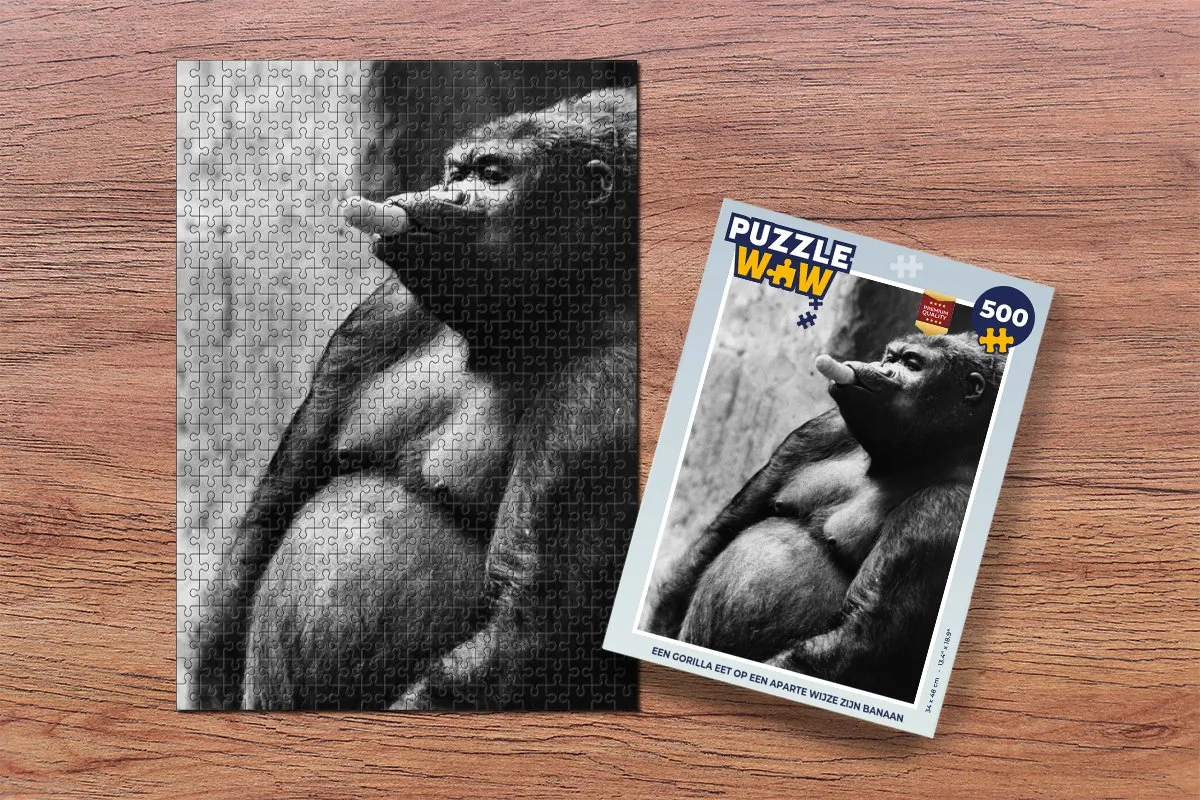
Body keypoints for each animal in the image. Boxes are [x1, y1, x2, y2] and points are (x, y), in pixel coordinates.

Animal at [195, 86, 639, 710]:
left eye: (492, 175)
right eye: (456, 171)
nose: (444, 195)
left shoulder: (607, 391)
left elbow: (522, 630)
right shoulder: (384, 310)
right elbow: (268, 517)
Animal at [646, 332, 1005, 702]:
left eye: (912, 364)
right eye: (890, 357)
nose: (880, 368)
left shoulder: (944, 509)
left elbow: (857, 640)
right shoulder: (825, 426)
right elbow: (724, 530)